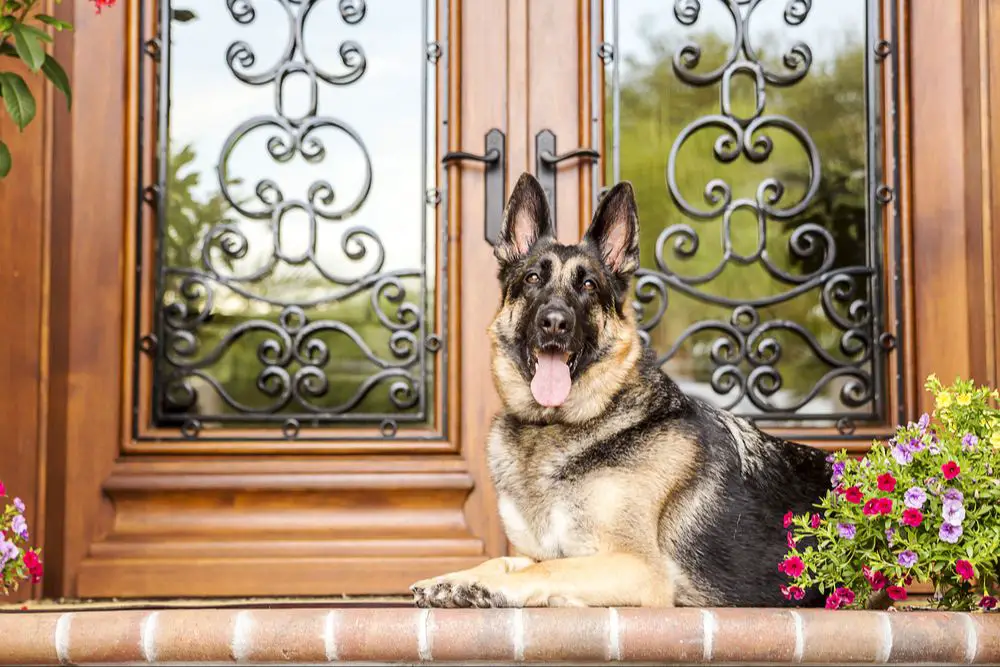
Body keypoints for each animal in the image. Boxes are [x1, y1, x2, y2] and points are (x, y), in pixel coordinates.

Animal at [410, 175, 832, 608]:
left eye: (589, 285)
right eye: (532, 279)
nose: (555, 323)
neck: (556, 425)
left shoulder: (638, 568)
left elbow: (548, 569)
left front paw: (492, 587)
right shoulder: (543, 552)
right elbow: (507, 561)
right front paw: (458, 578)